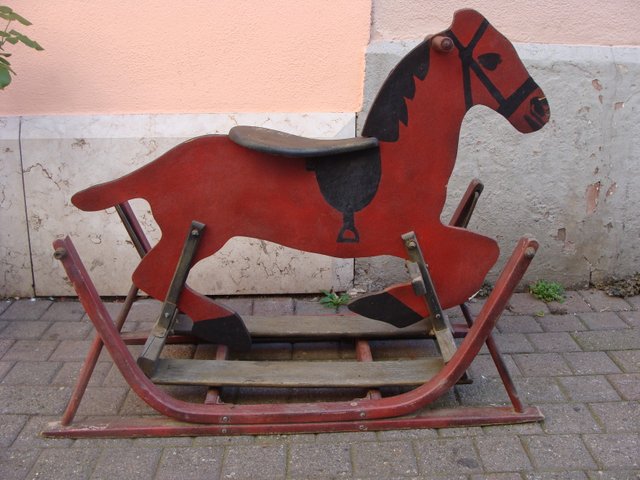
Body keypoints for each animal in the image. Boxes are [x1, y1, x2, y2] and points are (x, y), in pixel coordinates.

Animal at [71, 9, 550, 351]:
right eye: (492, 58)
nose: (540, 110)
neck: (401, 157)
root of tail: (164, 161)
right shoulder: (416, 229)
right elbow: (480, 255)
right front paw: (384, 304)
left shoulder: (421, 232)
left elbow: (473, 258)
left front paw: (394, 304)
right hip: (199, 232)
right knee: (150, 274)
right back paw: (228, 326)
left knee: (161, 277)